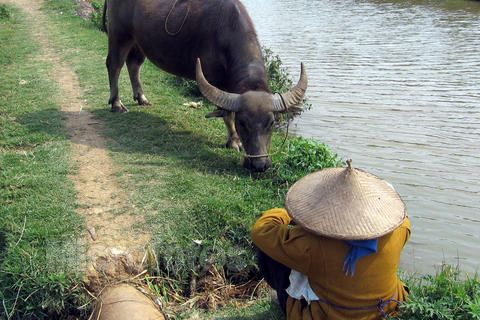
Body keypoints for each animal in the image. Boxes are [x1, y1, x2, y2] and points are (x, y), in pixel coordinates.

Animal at [103, 0, 310, 172]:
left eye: (272, 123)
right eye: (242, 123)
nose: (259, 165)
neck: (227, 29)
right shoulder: (214, 80)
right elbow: (227, 113)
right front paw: (234, 142)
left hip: (138, 41)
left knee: (134, 64)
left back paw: (141, 98)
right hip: (119, 35)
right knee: (114, 65)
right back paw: (116, 104)